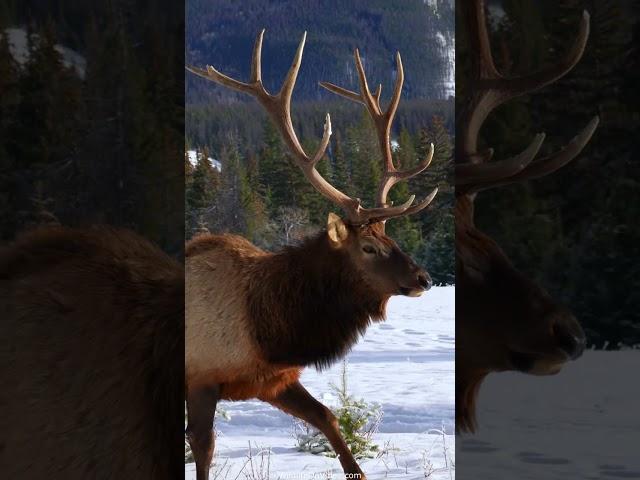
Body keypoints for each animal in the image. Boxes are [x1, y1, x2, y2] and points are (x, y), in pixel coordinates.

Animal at [182, 30, 438, 480]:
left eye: (390, 238)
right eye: (369, 247)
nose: (423, 277)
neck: (269, 327)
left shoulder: (274, 379)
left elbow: (328, 418)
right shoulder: (200, 376)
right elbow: (204, 448)